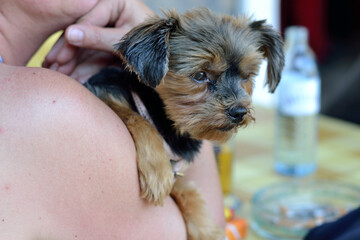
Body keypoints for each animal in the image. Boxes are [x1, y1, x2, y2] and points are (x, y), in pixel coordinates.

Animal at [85, 7, 284, 240]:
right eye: (200, 75)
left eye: (247, 76)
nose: (239, 112)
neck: (167, 122)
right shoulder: (102, 93)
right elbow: (138, 119)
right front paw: (157, 170)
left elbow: (186, 189)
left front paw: (207, 230)